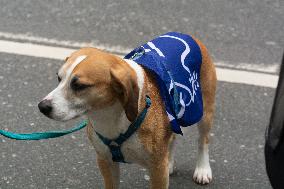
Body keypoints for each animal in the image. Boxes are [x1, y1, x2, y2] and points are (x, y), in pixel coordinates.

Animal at [37, 36, 215, 188]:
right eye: (59, 78)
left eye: (79, 86)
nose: (42, 106)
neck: (109, 116)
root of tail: (188, 36)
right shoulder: (106, 162)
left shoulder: (157, 169)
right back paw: (170, 161)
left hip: (204, 113)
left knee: (203, 141)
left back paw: (202, 169)